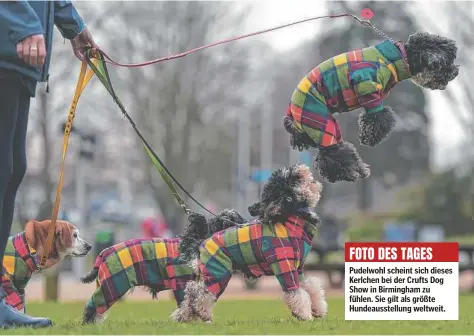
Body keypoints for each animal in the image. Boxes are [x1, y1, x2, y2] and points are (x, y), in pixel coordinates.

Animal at [80, 210, 244, 322]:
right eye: (230, 220)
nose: (243, 224)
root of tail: (105, 252)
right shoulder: (181, 282)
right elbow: (186, 303)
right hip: (111, 286)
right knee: (92, 306)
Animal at [176, 164, 328, 322]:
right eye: (290, 179)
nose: (297, 169)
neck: (292, 221)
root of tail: (202, 242)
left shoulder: (298, 269)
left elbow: (311, 287)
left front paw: (318, 309)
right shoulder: (285, 265)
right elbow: (297, 293)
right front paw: (304, 315)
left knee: (192, 290)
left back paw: (184, 315)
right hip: (219, 270)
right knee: (202, 293)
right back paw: (202, 312)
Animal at [284, 32, 458, 182]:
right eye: (446, 63)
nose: (455, 72)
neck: (399, 57)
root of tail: (291, 111)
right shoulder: (367, 86)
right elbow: (377, 118)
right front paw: (368, 138)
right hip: (320, 122)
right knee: (330, 155)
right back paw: (350, 172)